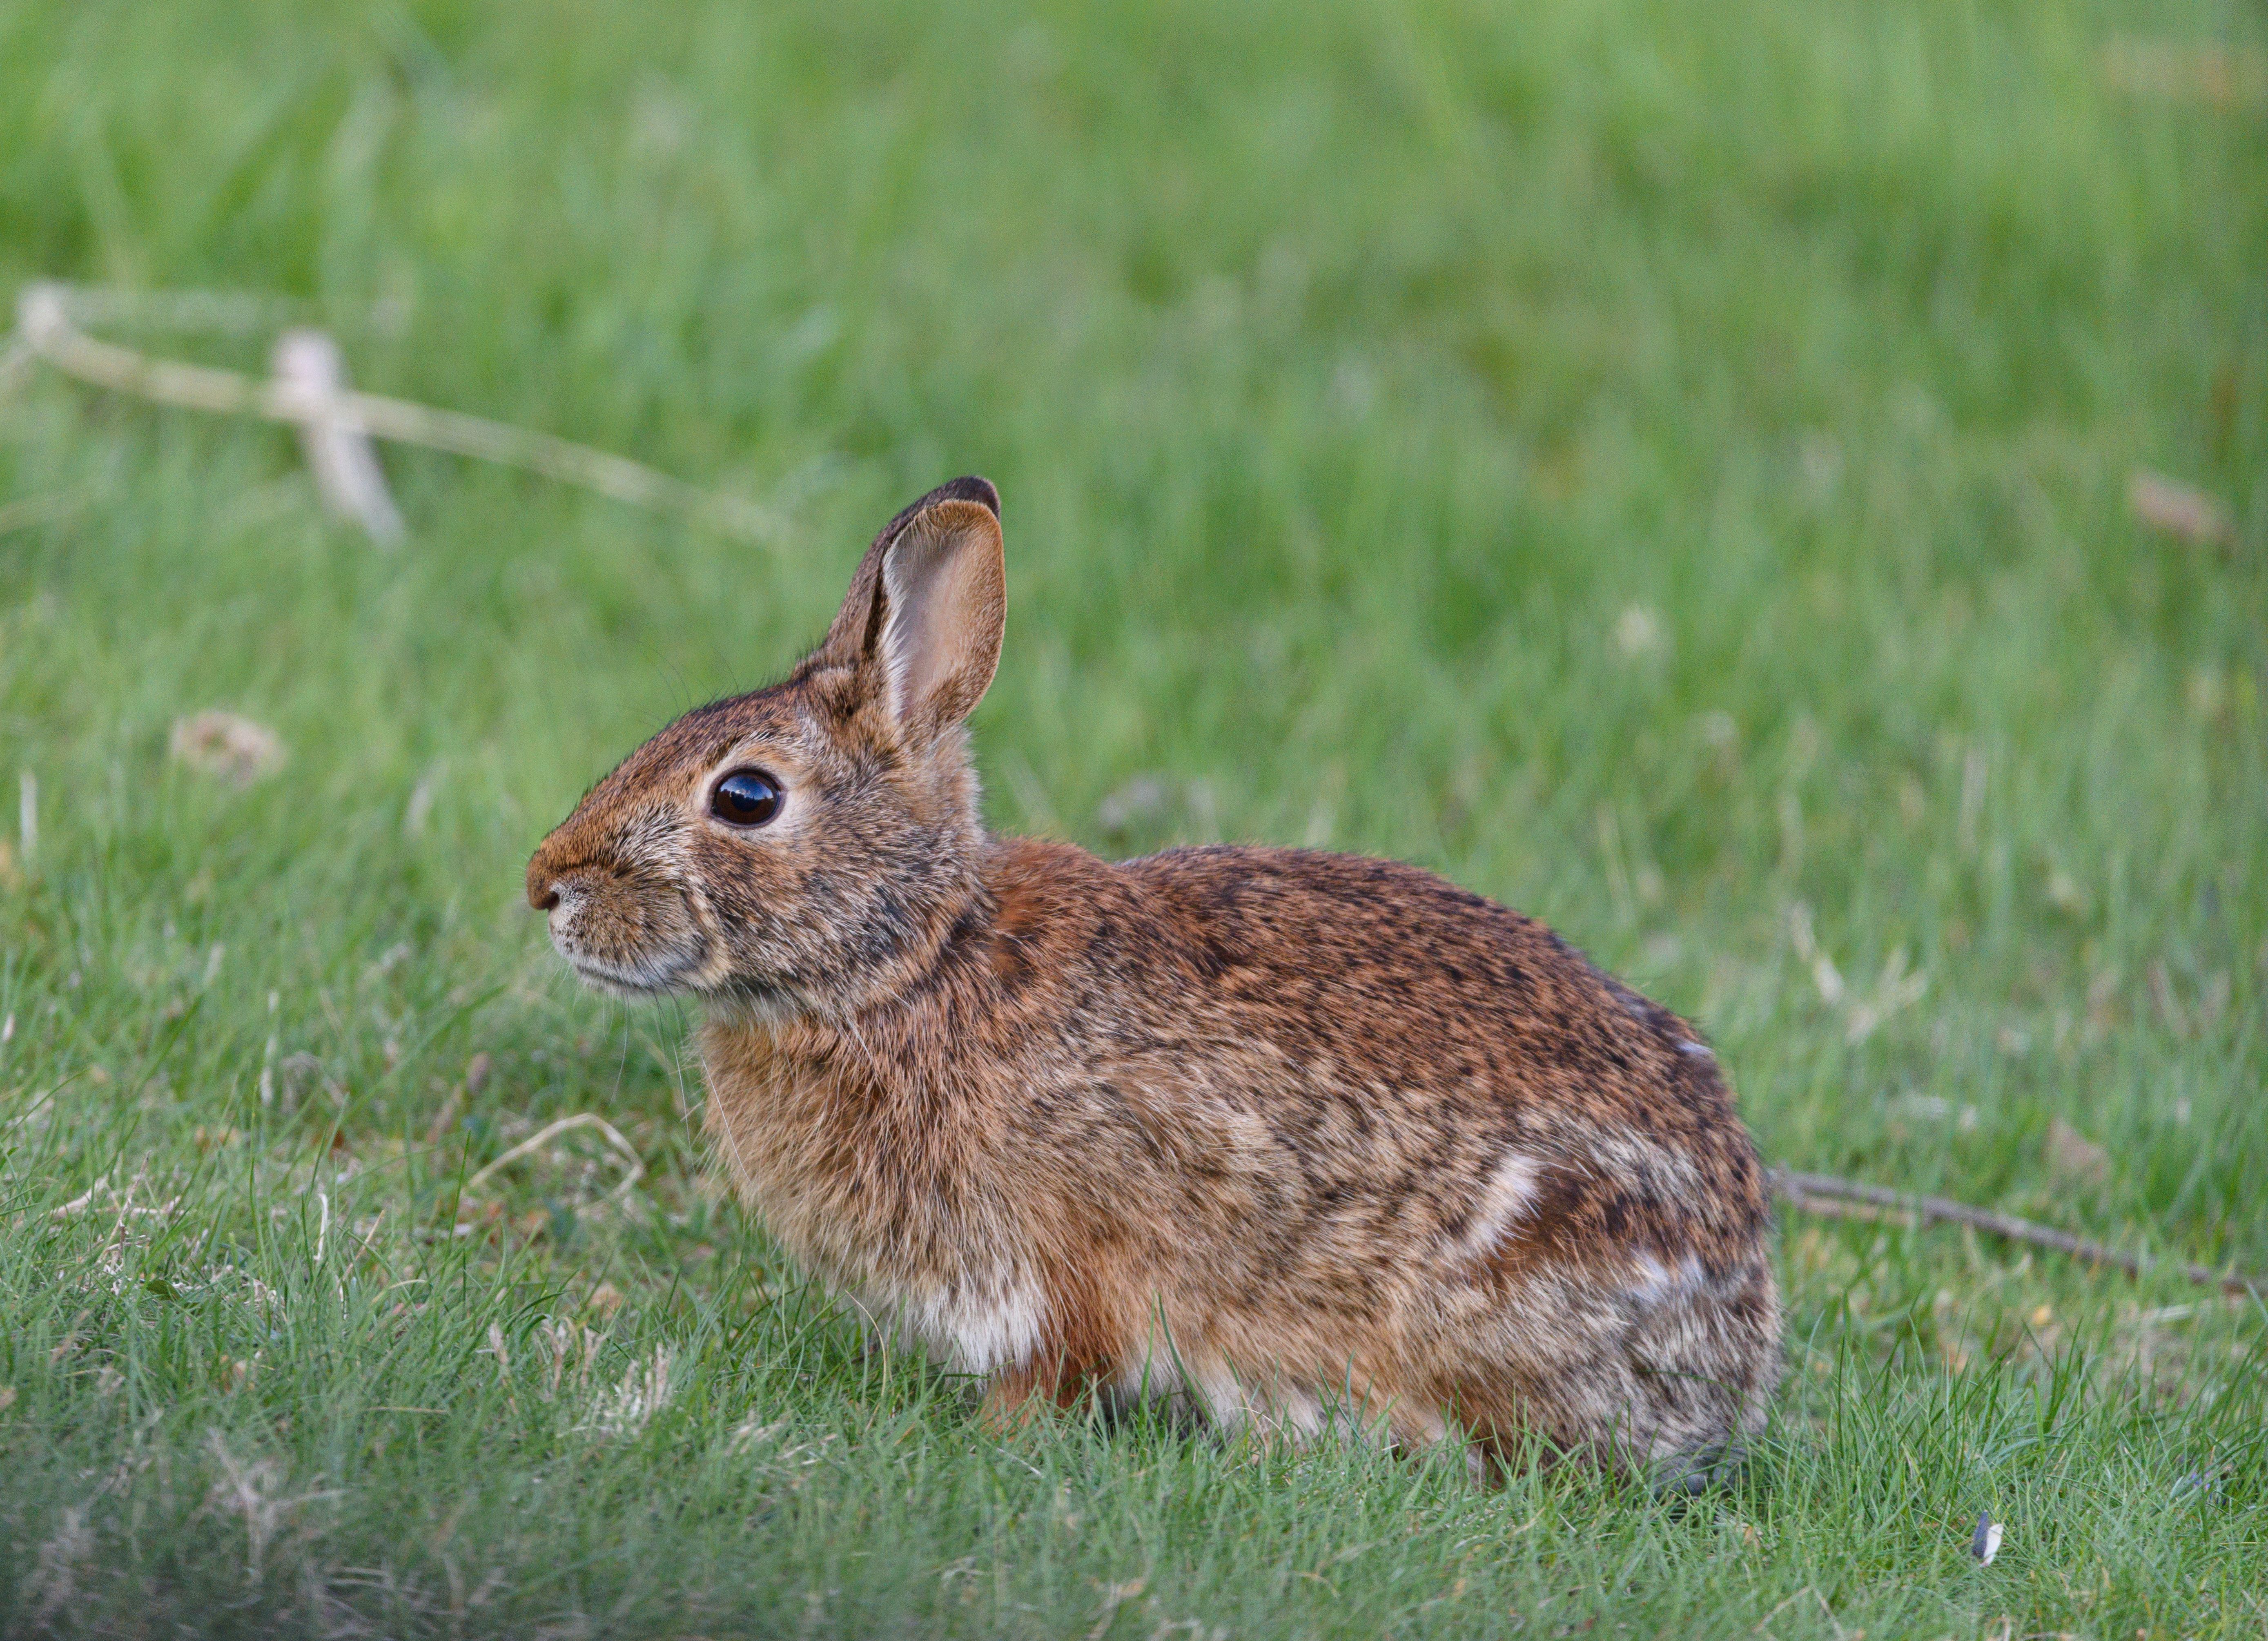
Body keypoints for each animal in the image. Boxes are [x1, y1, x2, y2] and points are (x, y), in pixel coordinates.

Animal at [527, 477, 1782, 1479]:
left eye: (745, 797)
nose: (546, 886)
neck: (907, 964)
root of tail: (1735, 1329)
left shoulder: (1063, 1259)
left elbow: (1060, 1367)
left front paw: (992, 1439)